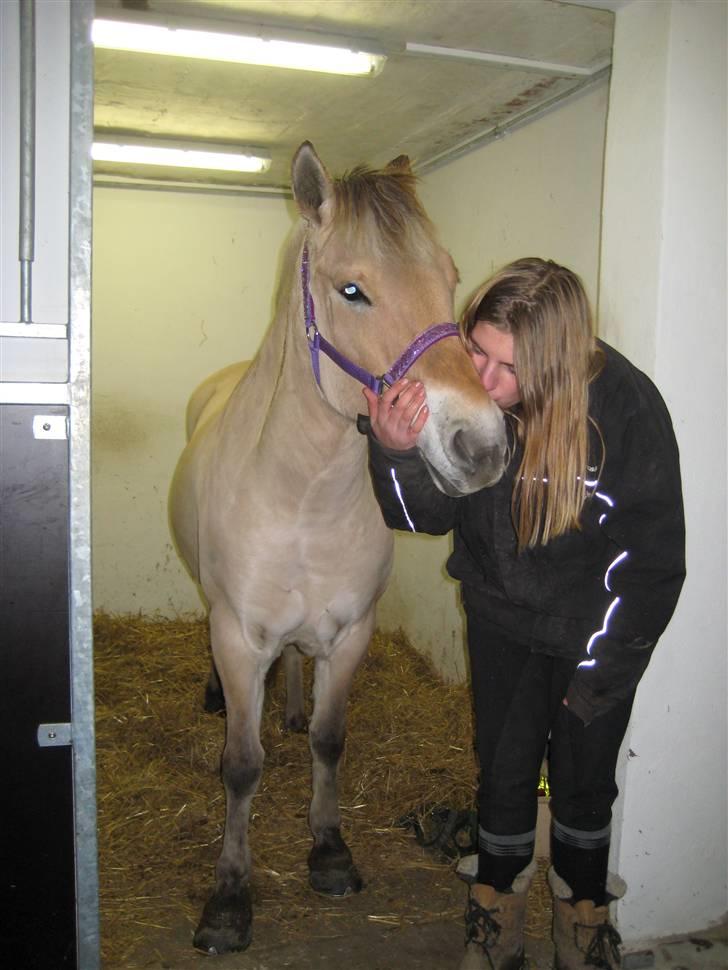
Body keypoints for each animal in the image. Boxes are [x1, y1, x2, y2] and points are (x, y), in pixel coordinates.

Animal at [166, 144, 506, 952]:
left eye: (449, 276)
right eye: (352, 290)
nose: (480, 446)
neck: (305, 497)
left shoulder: (351, 633)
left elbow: (329, 740)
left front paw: (329, 852)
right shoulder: (237, 634)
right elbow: (241, 766)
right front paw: (229, 898)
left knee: (295, 672)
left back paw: (286, 706)